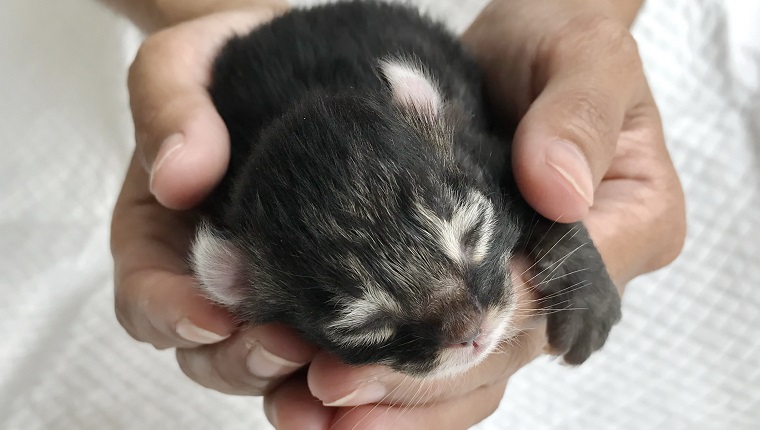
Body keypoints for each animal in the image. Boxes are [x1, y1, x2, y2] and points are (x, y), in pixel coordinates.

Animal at [189, 0, 616, 376]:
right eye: (367, 325)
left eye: (473, 235)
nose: (469, 330)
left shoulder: (486, 151)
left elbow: (541, 197)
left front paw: (586, 292)